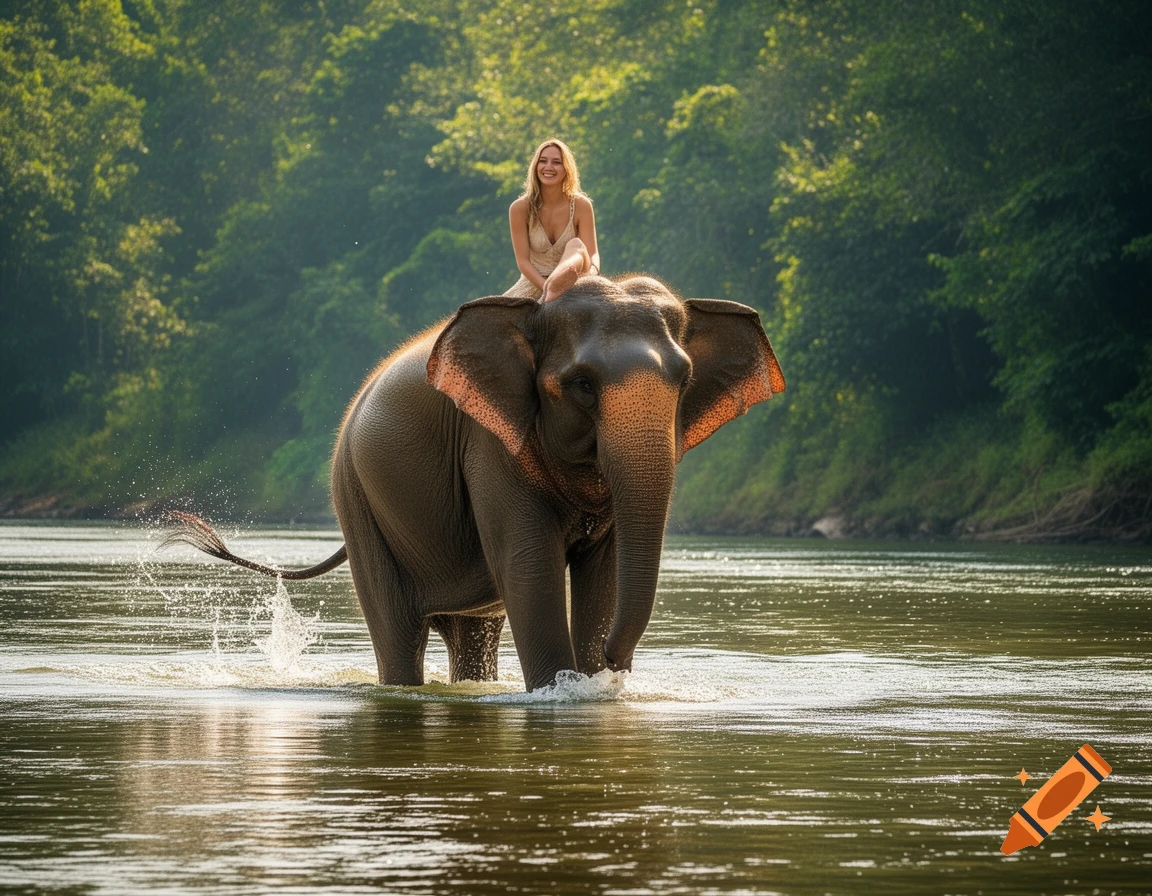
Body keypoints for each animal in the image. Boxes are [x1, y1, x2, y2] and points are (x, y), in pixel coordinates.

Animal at [165, 275, 785, 691]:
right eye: (581, 384)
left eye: (684, 379)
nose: (610, 663)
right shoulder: (488, 443)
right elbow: (530, 565)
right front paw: (565, 688)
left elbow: (603, 573)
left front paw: (592, 685)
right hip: (356, 497)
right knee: (400, 635)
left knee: (473, 635)